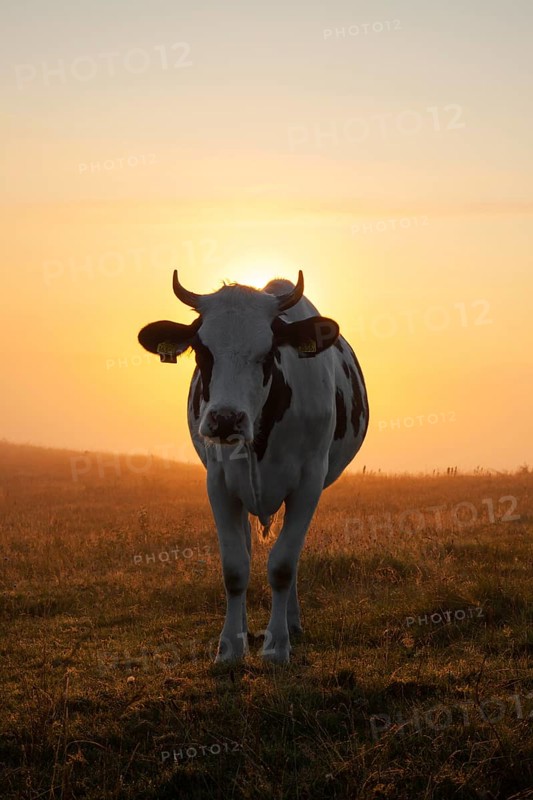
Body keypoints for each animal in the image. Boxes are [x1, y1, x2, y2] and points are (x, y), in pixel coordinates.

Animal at [138, 270, 369, 663]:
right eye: (202, 350)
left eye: (269, 353)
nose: (226, 419)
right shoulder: (219, 484)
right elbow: (235, 568)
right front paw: (230, 646)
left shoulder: (308, 485)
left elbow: (283, 565)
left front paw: (277, 645)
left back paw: (291, 622)